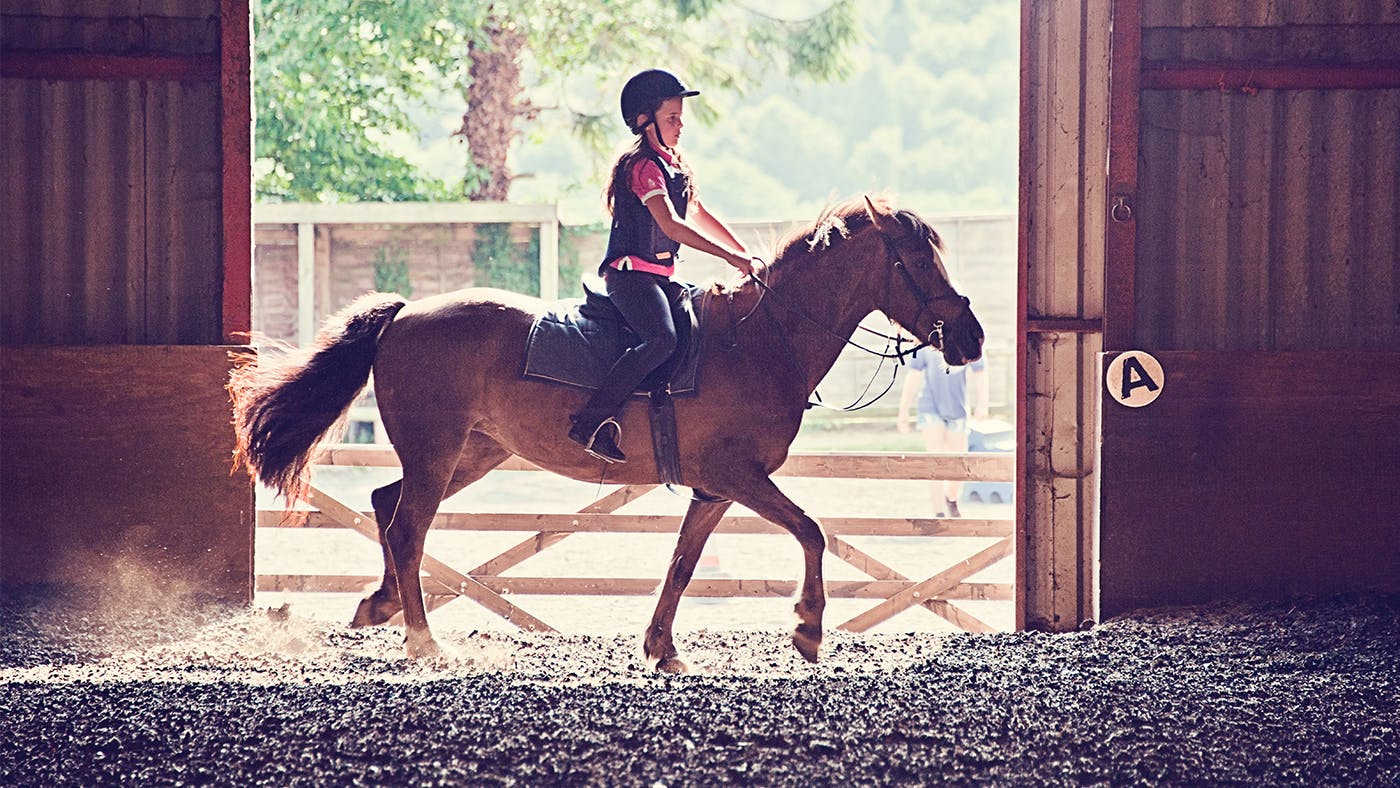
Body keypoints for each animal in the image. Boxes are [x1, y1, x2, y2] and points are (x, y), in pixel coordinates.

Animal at [232, 197, 985, 671]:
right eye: (921, 262)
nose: (972, 338)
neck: (763, 338)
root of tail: (406, 313)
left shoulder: (713, 489)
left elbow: (682, 564)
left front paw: (661, 647)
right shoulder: (739, 477)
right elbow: (811, 531)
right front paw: (806, 629)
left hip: (470, 451)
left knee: (388, 505)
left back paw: (381, 604)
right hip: (439, 450)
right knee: (409, 525)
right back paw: (422, 641)